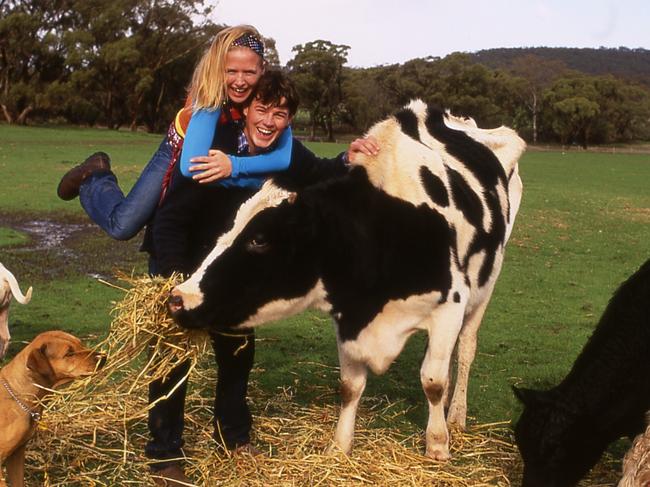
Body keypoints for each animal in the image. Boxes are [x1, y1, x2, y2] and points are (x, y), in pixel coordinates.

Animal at [170, 100, 524, 462]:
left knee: (465, 348)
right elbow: (350, 386)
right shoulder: (348, 312)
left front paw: (437, 444)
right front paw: (340, 445)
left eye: (260, 239)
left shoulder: (450, 305)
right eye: (229, 226)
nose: (179, 298)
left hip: (486, 285)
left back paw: (456, 416)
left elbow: (433, 381)